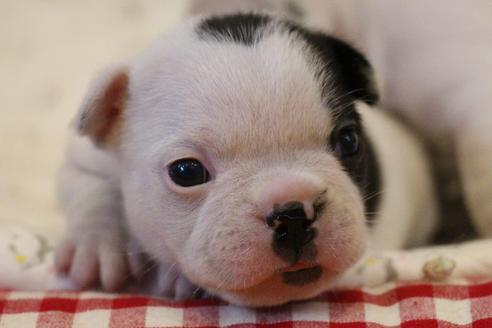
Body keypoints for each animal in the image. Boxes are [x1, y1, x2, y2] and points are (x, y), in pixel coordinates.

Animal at [55, 12, 436, 304]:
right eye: (186, 171)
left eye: (349, 140)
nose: (292, 212)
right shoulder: (87, 158)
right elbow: (88, 187)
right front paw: (98, 247)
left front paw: (179, 279)